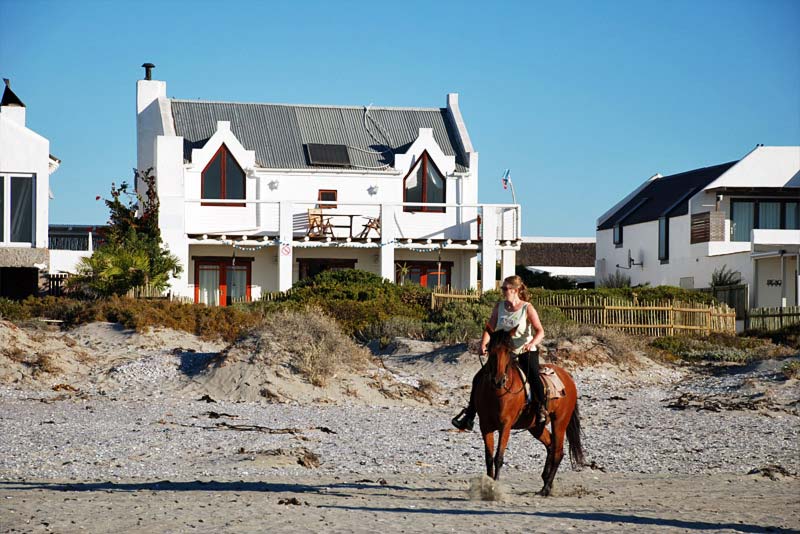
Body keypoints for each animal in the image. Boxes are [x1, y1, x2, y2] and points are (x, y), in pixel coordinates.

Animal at [472, 330, 584, 498]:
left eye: (508, 351)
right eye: (490, 351)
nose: (499, 380)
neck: (497, 394)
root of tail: (567, 377)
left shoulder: (505, 425)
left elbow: (498, 457)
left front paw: (495, 488)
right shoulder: (485, 426)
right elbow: (489, 458)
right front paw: (488, 486)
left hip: (560, 422)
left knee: (558, 452)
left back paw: (546, 488)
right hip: (535, 426)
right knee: (551, 445)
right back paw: (545, 480)